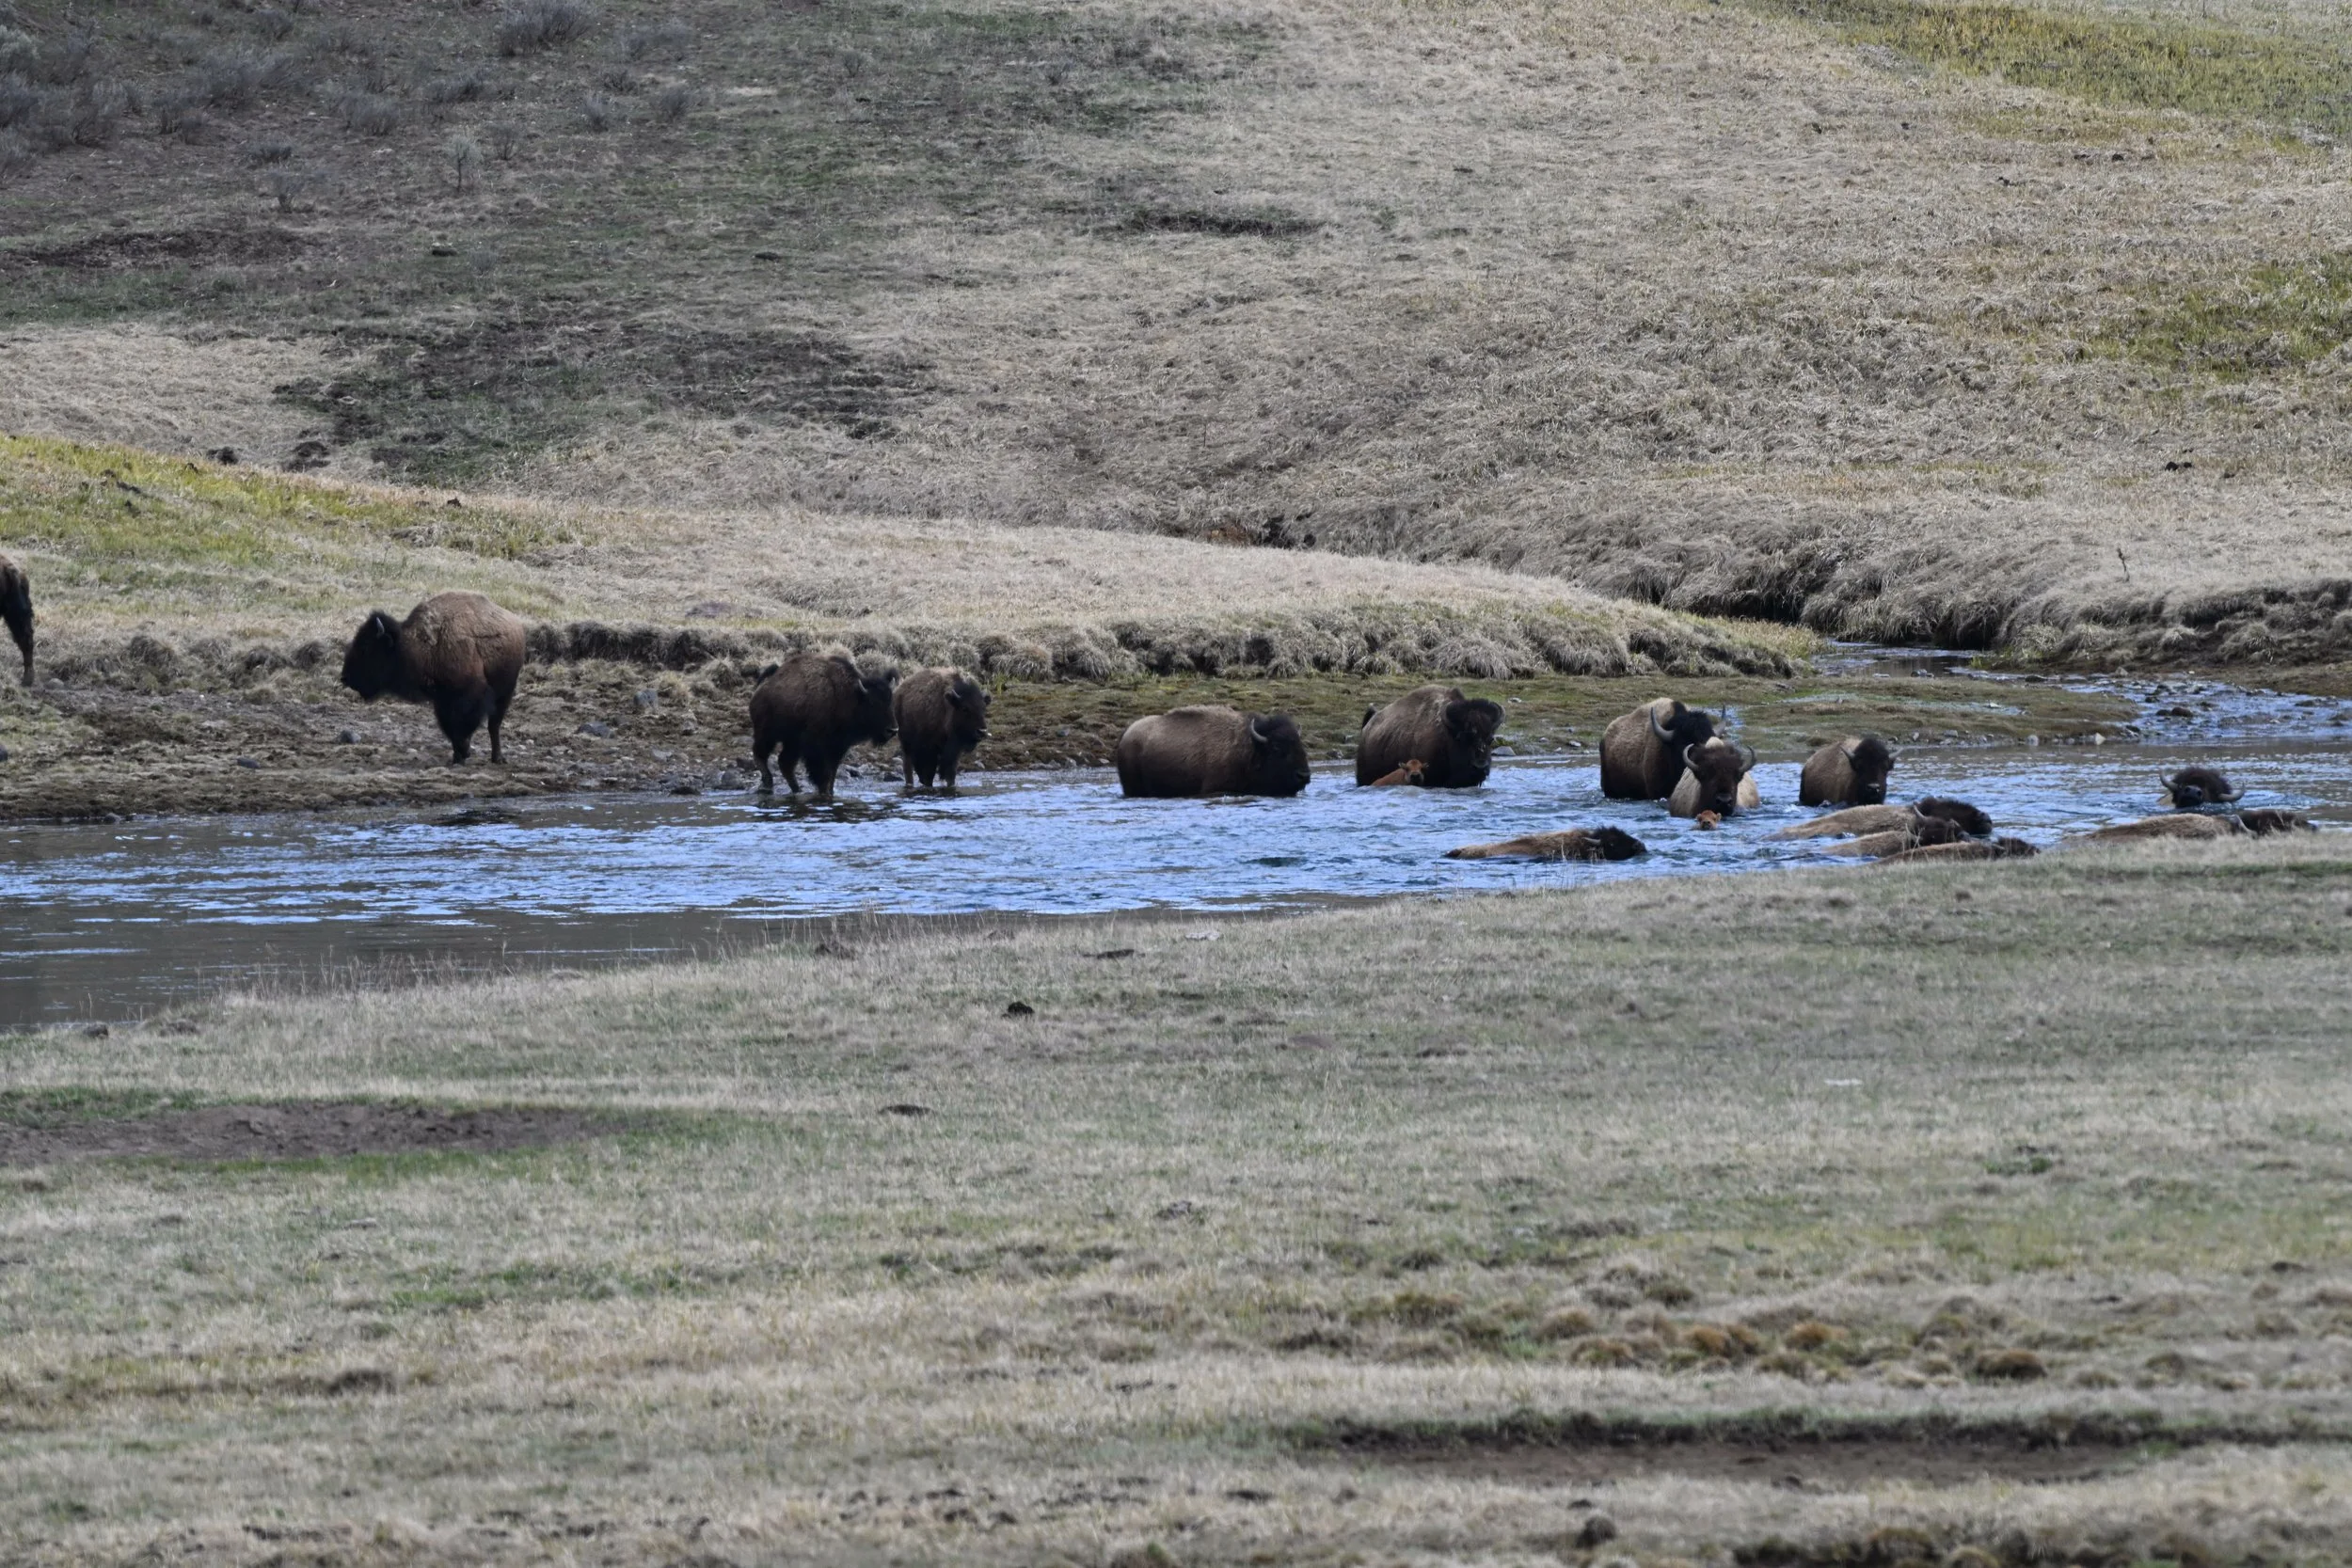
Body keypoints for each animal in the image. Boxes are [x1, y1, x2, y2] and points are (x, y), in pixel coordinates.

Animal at [339, 590, 527, 764]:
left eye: (365, 648)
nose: (345, 677)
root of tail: (515, 623)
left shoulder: (470, 696)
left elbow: (464, 725)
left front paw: (463, 753)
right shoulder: (442, 701)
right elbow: (450, 727)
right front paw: (458, 755)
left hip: (505, 693)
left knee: (493, 726)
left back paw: (498, 758)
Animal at [750, 651, 897, 799]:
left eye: (890, 700)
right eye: (872, 703)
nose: (893, 730)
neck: (850, 695)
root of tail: (764, 686)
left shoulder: (838, 747)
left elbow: (832, 772)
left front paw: (829, 793)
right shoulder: (816, 746)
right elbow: (823, 773)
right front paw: (824, 793)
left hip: (792, 742)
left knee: (784, 763)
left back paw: (797, 790)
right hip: (767, 733)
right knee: (760, 754)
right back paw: (768, 785)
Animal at [893, 666, 990, 789]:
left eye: (983, 708)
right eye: (965, 708)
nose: (982, 731)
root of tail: (898, 691)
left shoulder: (953, 753)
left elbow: (950, 774)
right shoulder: (929, 751)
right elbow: (928, 774)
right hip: (906, 744)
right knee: (908, 768)